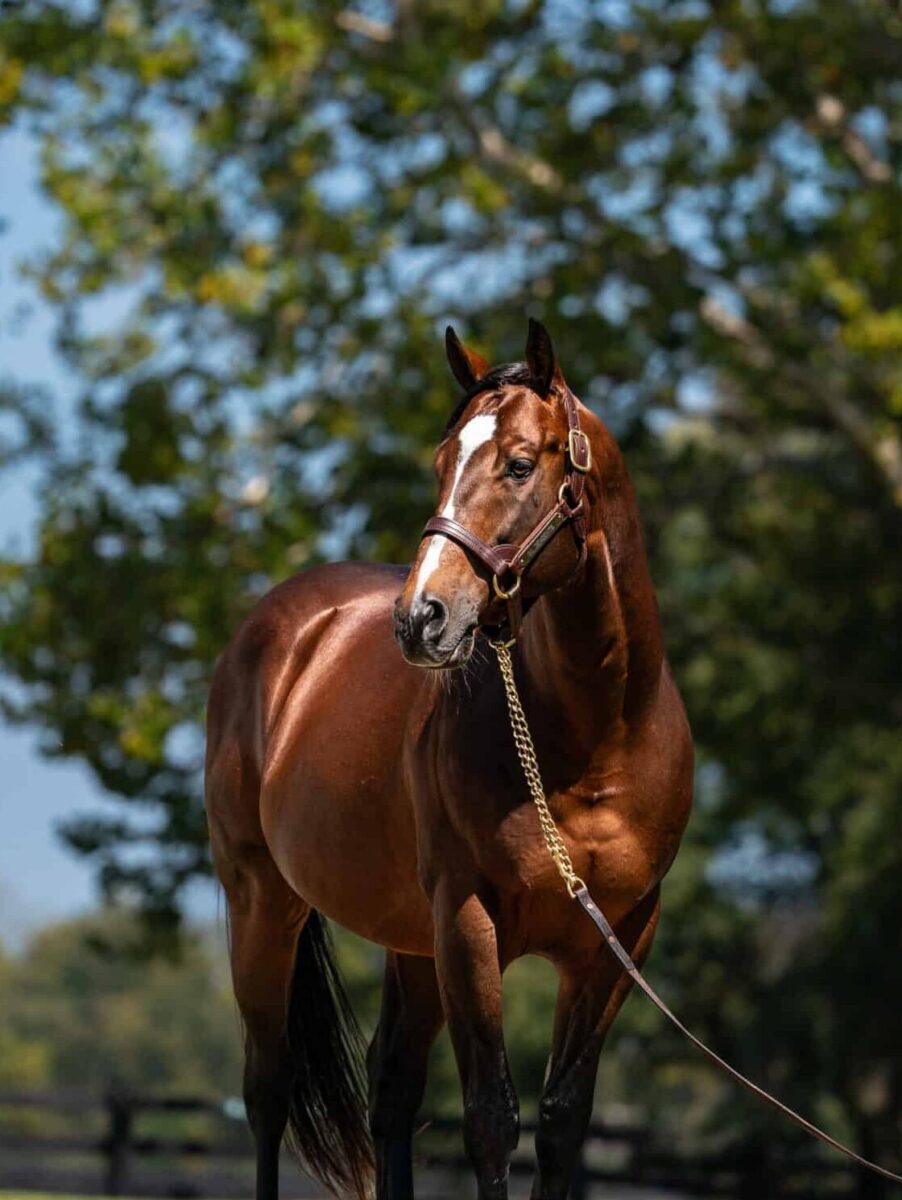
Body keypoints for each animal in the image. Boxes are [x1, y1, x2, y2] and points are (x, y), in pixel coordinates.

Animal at [207, 321, 695, 1200]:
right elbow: (491, 1120)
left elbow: (561, 1124)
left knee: (391, 1090)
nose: (421, 617)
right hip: (265, 904)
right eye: (441, 462)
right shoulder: (468, 922)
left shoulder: (615, 941)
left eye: (520, 463)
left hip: (410, 943)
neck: (596, 741)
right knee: (267, 1090)